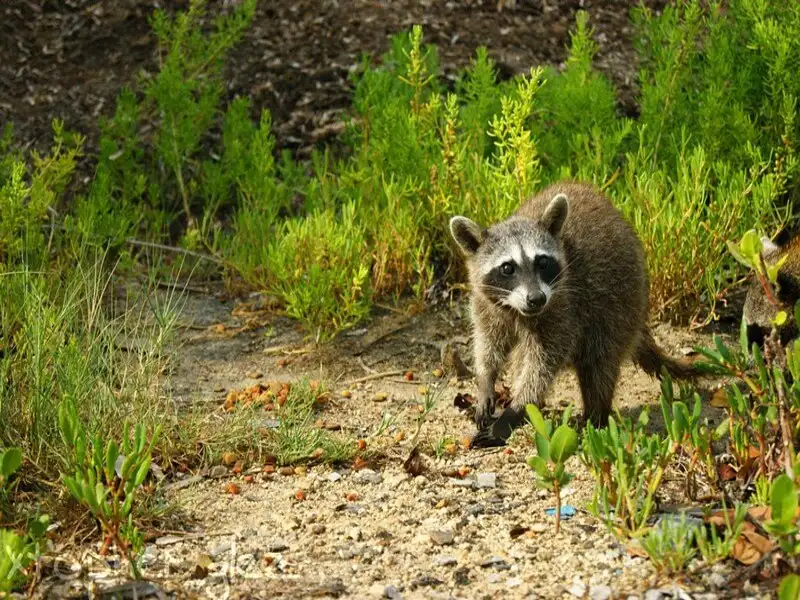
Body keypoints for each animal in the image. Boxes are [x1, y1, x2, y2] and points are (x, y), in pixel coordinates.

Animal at [450, 182, 700, 446]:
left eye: (542, 262)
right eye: (507, 268)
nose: (536, 298)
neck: (516, 309)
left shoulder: (564, 307)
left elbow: (543, 364)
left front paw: (516, 409)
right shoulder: (485, 303)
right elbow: (487, 344)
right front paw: (486, 381)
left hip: (622, 305)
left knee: (600, 364)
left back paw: (595, 417)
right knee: (522, 358)